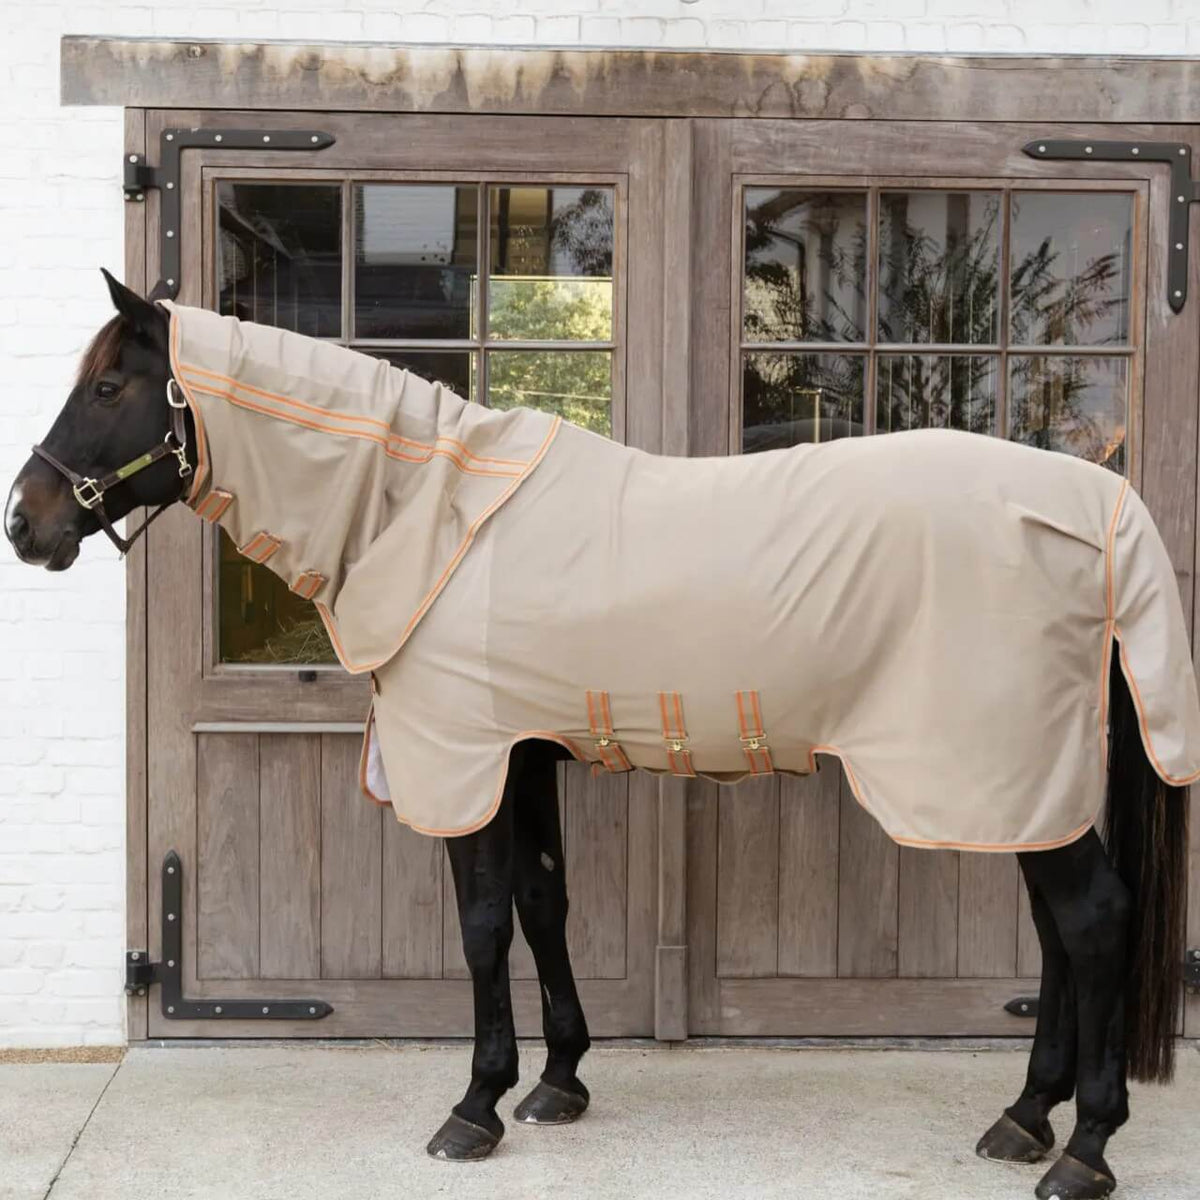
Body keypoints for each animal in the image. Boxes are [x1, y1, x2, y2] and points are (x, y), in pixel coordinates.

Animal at [5, 270, 1194, 1200]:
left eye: (108, 387)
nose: (25, 522)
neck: (430, 515)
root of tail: (1101, 508)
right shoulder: (524, 754)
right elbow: (544, 901)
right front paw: (558, 1081)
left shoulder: (470, 760)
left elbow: (485, 922)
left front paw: (475, 1106)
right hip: (1021, 781)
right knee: (1058, 933)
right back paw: (1024, 1117)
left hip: (999, 769)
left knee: (1092, 922)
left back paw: (1082, 1149)